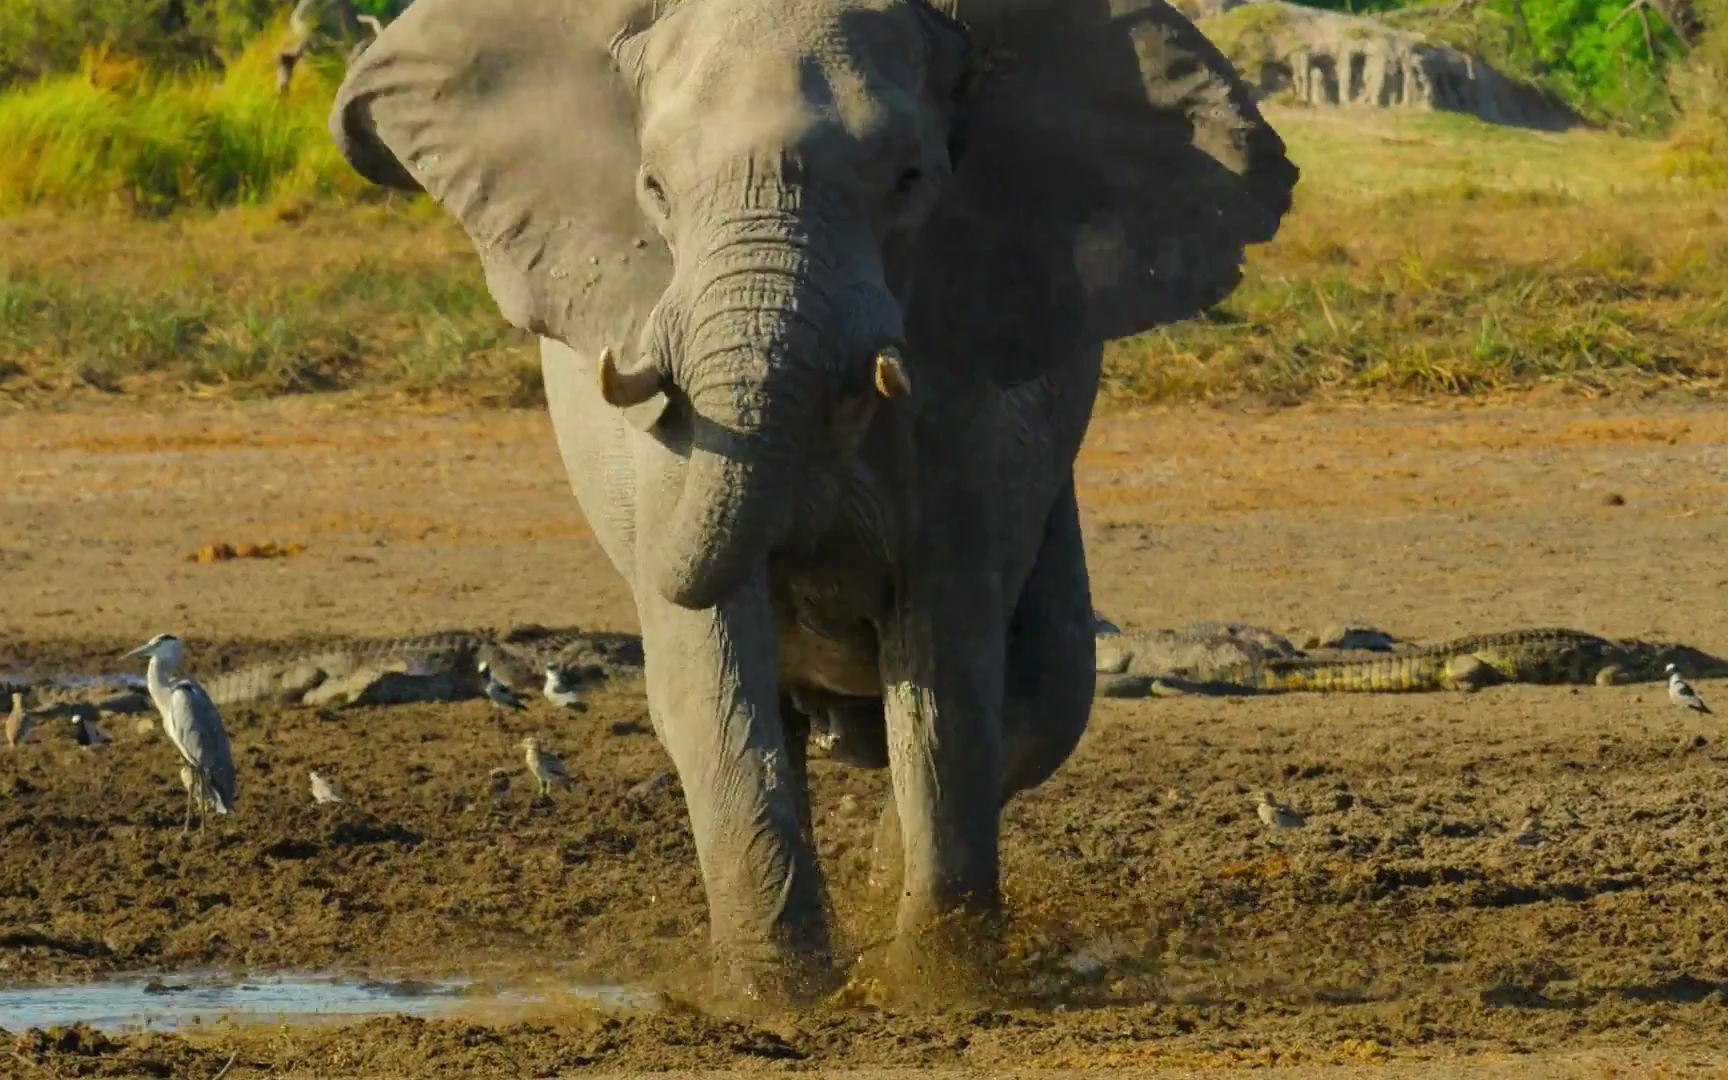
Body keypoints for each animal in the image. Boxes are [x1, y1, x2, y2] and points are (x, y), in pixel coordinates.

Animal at [326, 0, 1299, 1002]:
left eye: (910, 179)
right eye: (653, 188)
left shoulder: (964, 402)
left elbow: (947, 670)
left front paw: (935, 984)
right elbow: (712, 667)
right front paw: (777, 997)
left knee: (1045, 688)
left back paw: (884, 880)